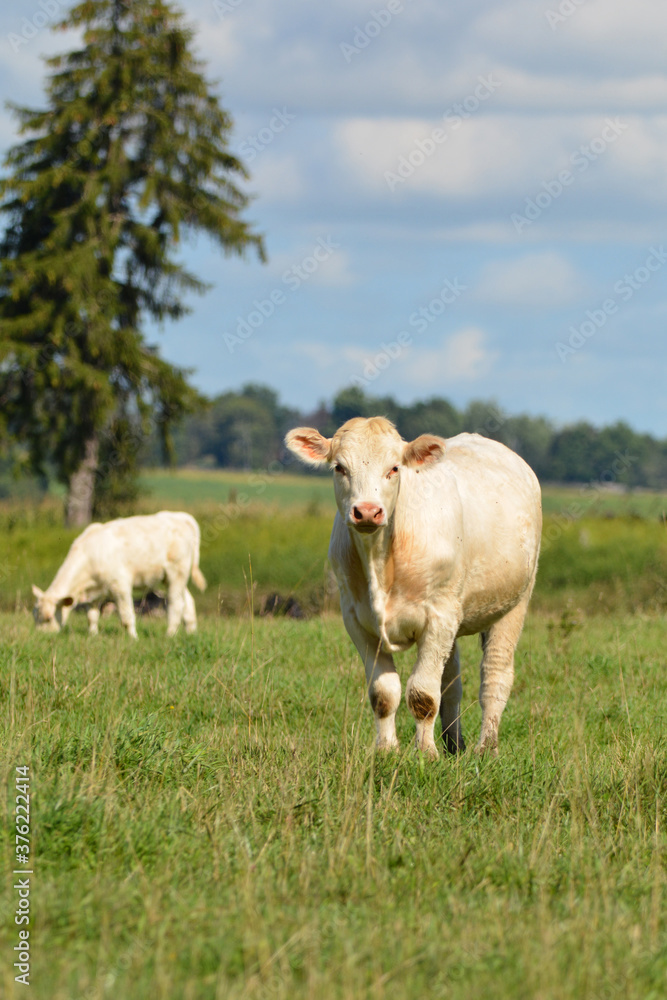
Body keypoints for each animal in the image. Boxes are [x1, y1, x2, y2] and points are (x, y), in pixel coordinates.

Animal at [30, 512, 206, 636]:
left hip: (176, 573)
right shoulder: (93, 593)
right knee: (188, 601)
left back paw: (169, 634)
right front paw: (93, 636)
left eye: (49, 618)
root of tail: (181, 517)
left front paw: (133, 638)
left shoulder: (120, 585)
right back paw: (190, 632)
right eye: (34, 615)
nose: (42, 636)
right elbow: (91, 616)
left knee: (176, 604)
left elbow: (126, 616)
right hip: (172, 578)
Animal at [286, 418, 544, 752]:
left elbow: (423, 695)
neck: (380, 559)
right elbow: (384, 694)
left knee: (495, 675)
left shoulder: (438, 617)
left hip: (513, 603)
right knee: (452, 682)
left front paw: (426, 752)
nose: (367, 511)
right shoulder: (356, 620)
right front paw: (386, 749)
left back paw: (486, 747)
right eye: (339, 467)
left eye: (394, 468)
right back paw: (454, 743)